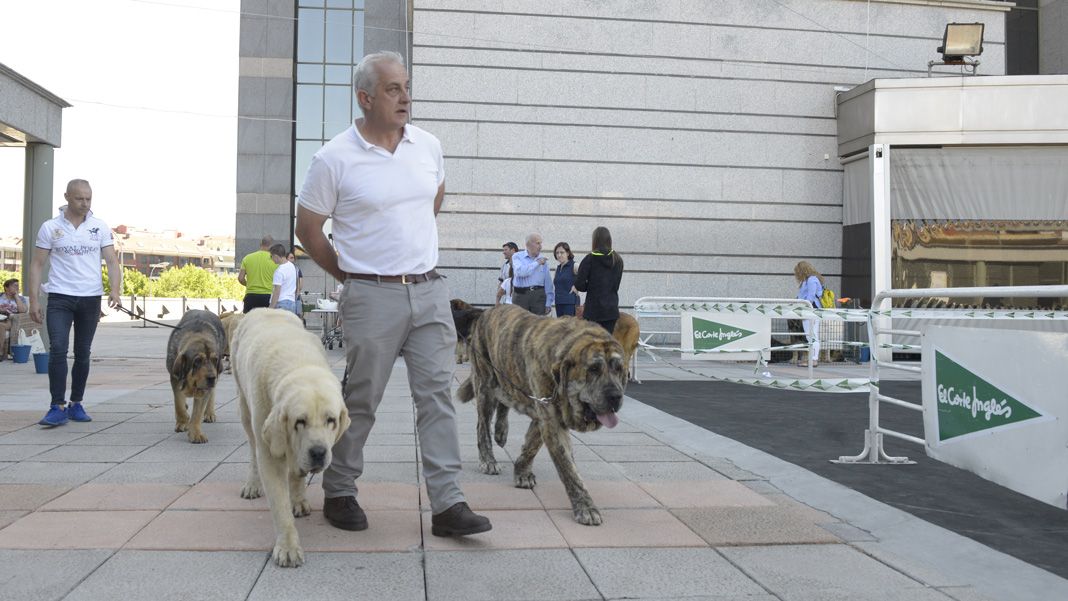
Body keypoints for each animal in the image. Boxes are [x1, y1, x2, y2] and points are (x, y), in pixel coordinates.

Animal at [165, 309, 226, 441]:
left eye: (215, 360)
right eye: (197, 361)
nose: (211, 377)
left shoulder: (204, 388)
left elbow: (197, 413)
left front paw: (196, 433)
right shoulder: (175, 379)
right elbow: (179, 404)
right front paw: (183, 422)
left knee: (212, 393)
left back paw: (209, 413)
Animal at [457, 303, 623, 525]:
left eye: (619, 369)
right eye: (594, 369)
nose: (616, 396)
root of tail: (487, 311)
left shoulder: (543, 412)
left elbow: (532, 446)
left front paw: (522, 471)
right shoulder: (550, 420)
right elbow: (568, 469)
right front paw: (586, 506)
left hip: (507, 377)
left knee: (504, 401)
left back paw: (501, 432)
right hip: (485, 383)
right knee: (482, 425)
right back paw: (488, 460)